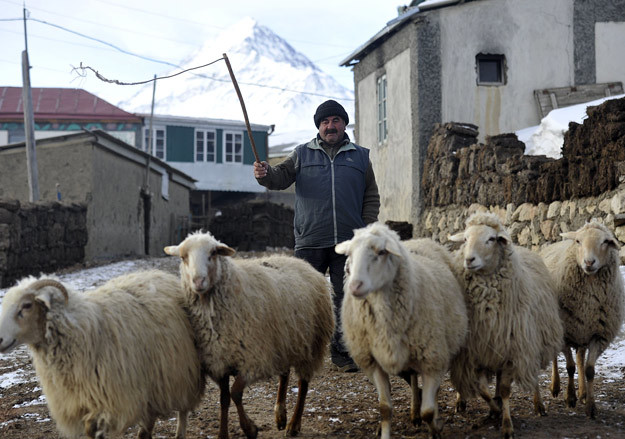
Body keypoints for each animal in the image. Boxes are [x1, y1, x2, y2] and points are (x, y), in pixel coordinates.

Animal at [0, 270, 206, 439]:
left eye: (27, 305)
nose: (0, 339)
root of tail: (161, 274)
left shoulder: (112, 399)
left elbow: (93, 428)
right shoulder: (80, 400)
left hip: (181, 371)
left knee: (183, 410)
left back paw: (179, 433)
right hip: (153, 381)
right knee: (149, 418)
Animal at [163, 231, 334, 439]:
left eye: (213, 253)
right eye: (183, 257)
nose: (198, 281)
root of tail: (300, 262)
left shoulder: (252, 359)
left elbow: (236, 393)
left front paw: (250, 428)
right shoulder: (220, 361)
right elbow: (224, 399)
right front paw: (223, 434)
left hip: (311, 344)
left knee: (303, 384)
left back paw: (293, 424)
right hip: (284, 341)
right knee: (284, 375)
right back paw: (280, 415)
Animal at [335, 222, 468, 439]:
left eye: (381, 252)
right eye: (350, 254)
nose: (355, 286)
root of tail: (419, 240)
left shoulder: (433, 360)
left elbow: (428, 411)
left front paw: (436, 428)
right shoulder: (374, 363)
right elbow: (385, 409)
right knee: (413, 379)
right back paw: (414, 412)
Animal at [448, 212, 563, 439]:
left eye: (491, 239)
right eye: (465, 238)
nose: (469, 259)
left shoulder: (513, 350)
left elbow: (505, 390)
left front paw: (507, 424)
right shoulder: (475, 352)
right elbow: (482, 389)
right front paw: (494, 409)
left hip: (530, 341)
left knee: (532, 376)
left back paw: (538, 404)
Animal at [540, 220, 625, 418]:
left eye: (605, 242)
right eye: (578, 241)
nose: (589, 262)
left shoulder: (598, 335)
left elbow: (589, 370)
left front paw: (591, 406)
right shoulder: (565, 333)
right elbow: (569, 367)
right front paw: (569, 398)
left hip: (582, 331)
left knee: (580, 357)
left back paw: (584, 393)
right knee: (557, 357)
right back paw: (556, 387)